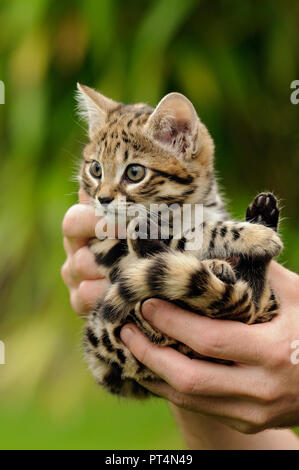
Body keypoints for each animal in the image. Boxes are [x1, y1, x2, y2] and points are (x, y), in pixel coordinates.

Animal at [75, 83, 284, 396]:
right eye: (96, 169)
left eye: (134, 172)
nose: (102, 199)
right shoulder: (108, 242)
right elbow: (195, 235)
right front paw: (254, 236)